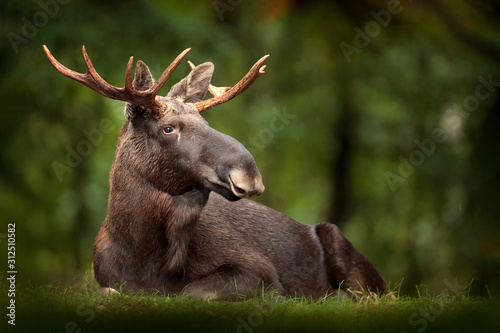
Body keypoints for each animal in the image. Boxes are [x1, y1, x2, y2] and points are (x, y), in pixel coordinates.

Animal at [44, 44, 386, 298]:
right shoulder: (104, 280)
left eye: (206, 122)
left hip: (345, 249)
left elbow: (193, 292)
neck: (141, 251)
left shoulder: (258, 268)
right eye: (168, 128)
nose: (249, 174)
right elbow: (110, 292)